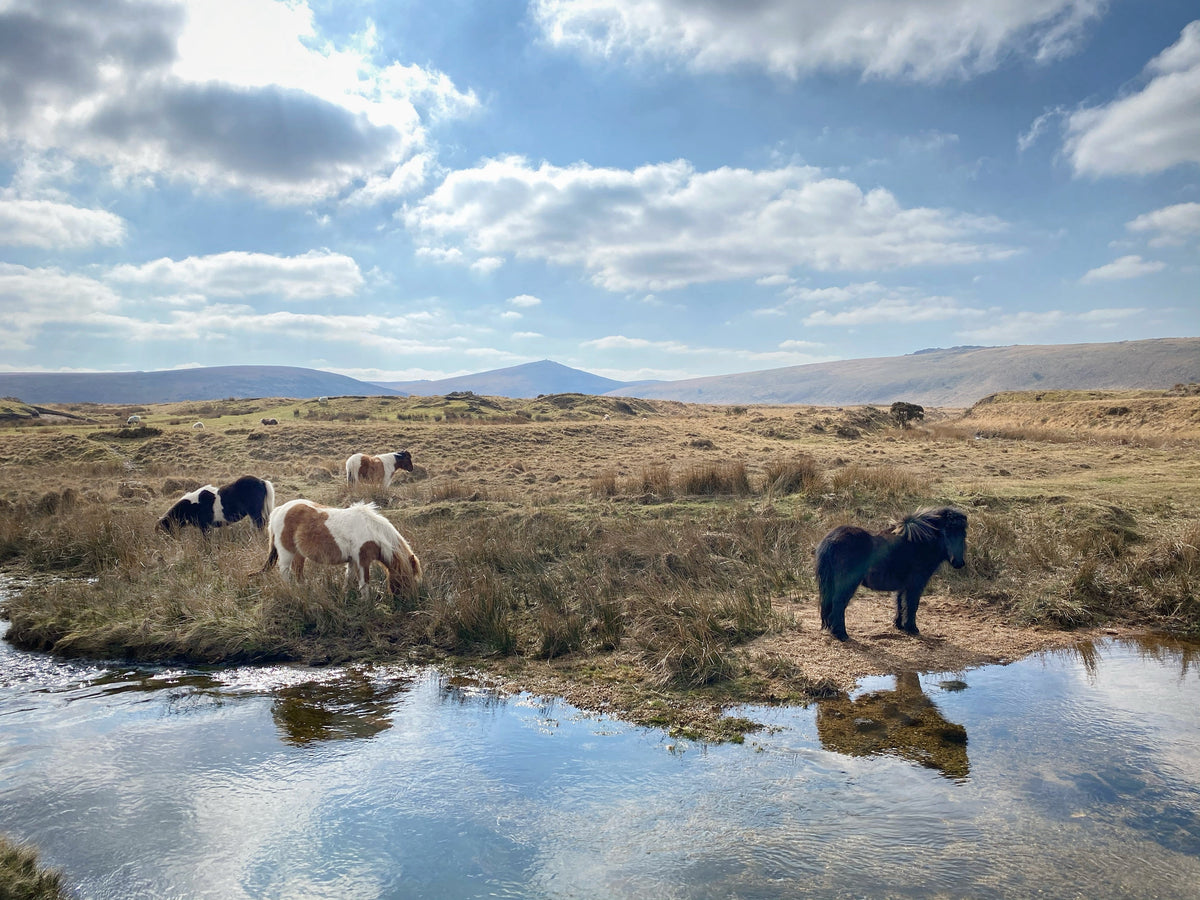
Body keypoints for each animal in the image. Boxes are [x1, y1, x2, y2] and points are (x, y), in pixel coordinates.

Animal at [258, 499, 422, 597]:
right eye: (406, 579)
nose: (409, 601)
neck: (372, 530)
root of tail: (279, 510)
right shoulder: (362, 561)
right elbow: (364, 583)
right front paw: (366, 603)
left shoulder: (353, 560)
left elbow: (349, 578)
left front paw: (345, 594)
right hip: (286, 553)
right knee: (285, 572)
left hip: (299, 554)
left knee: (298, 571)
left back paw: (304, 589)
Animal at [815, 507, 967, 642]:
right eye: (946, 532)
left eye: (963, 534)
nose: (958, 562)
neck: (918, 543)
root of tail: (831, 539)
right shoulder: (915, 585)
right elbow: (912, 605)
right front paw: (912, 628)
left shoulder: (903, 585)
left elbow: (900, 603)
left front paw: (899, 625)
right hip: (847, 584)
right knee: (839, 604)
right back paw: (841, 634)